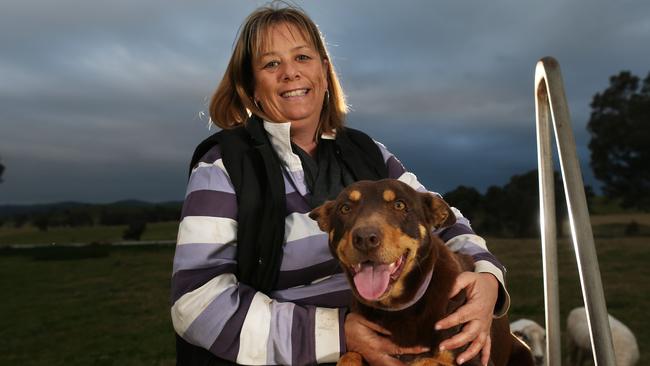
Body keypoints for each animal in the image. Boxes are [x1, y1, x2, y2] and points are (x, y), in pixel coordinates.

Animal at [308, 180, 532, 366]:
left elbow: (429, 361)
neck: (399, 307)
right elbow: (348, 356)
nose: (365, 238)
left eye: (399, 205)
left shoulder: (472, 358)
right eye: (345, 208)